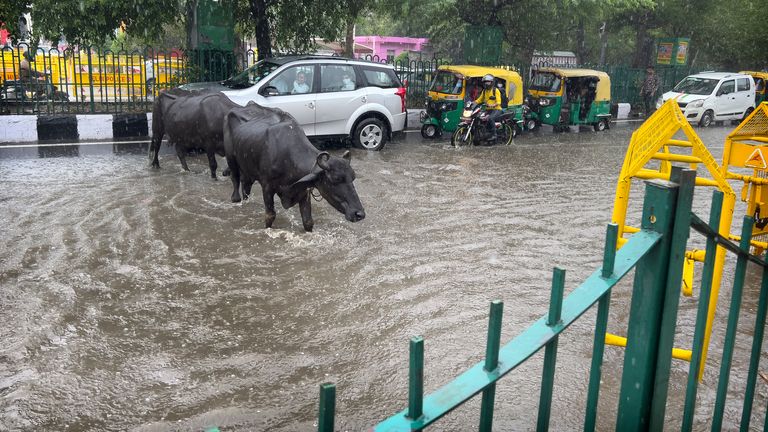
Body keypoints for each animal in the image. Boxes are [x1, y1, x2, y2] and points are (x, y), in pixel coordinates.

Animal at [222, 102, 366, 231]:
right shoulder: (267, 187)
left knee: (246, 186)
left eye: (353, 178)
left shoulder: (303, 191)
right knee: (235, 180)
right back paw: (235, 198)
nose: (359, 214)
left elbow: (308, 221)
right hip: (231, 159)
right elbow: (270, 216)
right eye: (335, 179)